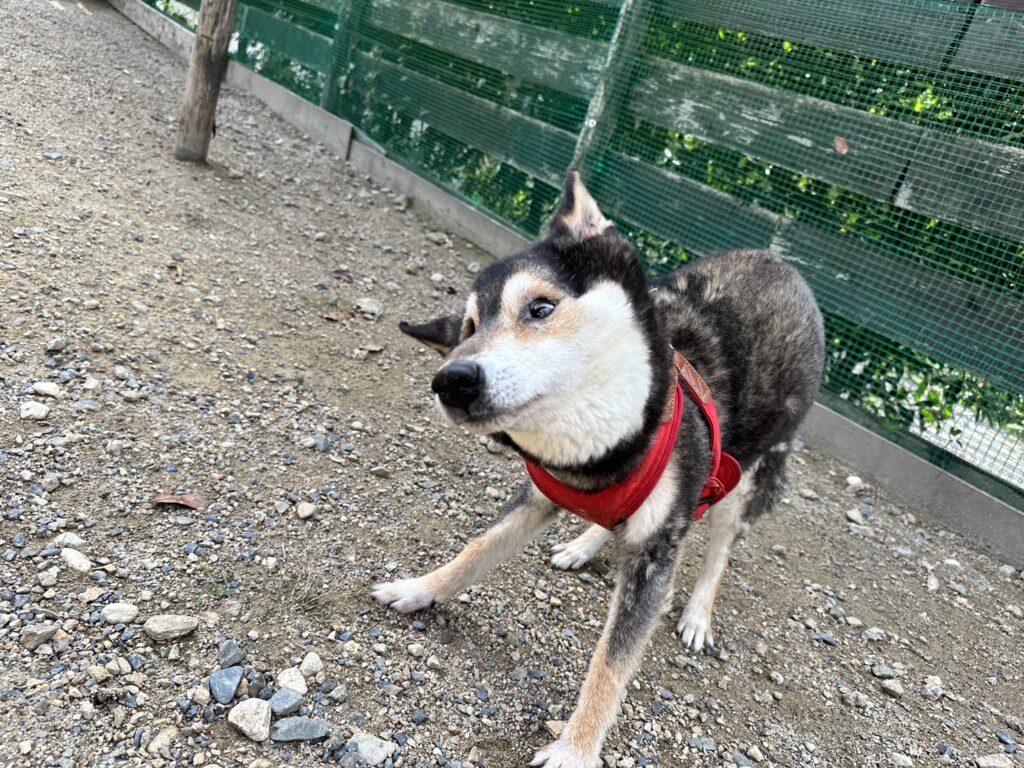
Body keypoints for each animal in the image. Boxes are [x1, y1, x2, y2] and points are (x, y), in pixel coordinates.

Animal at [375, 170, 825, 767]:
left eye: (540, 309)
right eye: (467, 328)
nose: (451, 380)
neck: (604, 449)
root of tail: (782, 264)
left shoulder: (657, 553)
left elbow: (610, 664)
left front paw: (575, 748)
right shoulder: (540, 495)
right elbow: (475, 550)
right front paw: (421, 588)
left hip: (747, 475)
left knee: (721, 549)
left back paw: (697, 613)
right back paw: (585, 543)